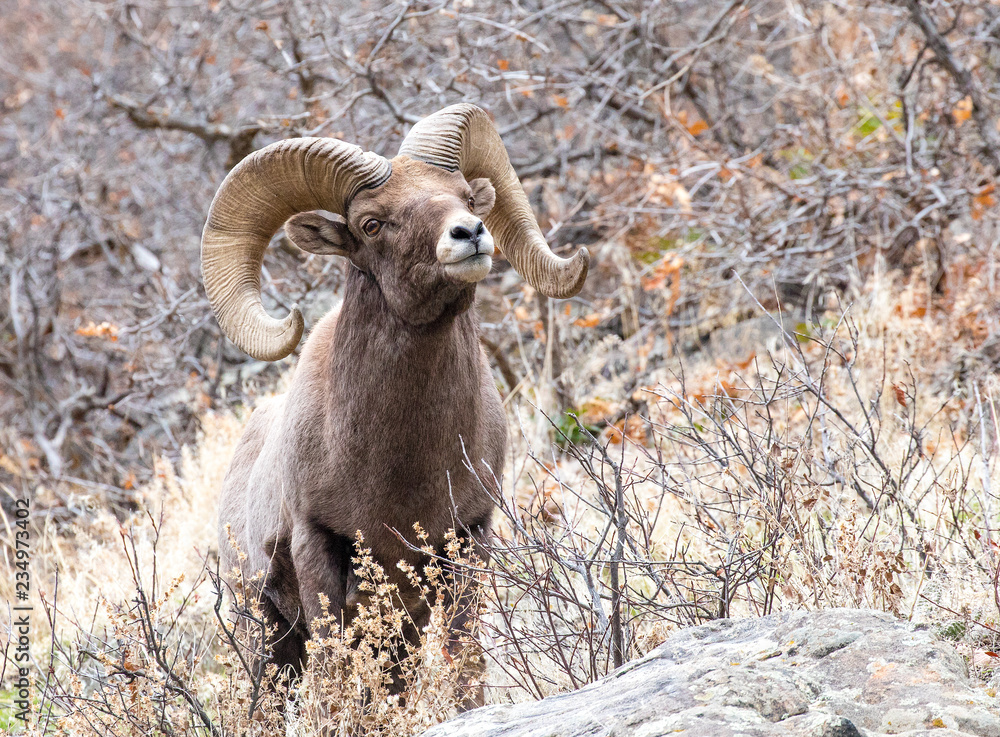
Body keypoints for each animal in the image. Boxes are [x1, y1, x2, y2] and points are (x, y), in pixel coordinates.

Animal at [201, 104, 589, 692]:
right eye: (372, 223)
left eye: (465, 195)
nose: (470, 233)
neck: (399, 474)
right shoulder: (317, 547)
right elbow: (335, 675)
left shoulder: (469, 539)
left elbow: (466, 660)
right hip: (267, 638)